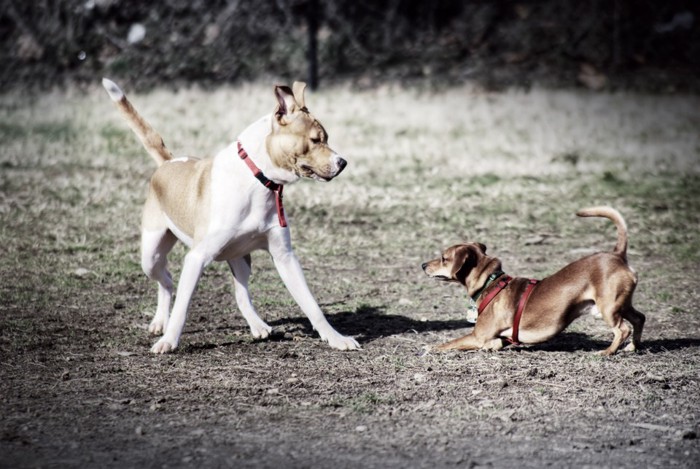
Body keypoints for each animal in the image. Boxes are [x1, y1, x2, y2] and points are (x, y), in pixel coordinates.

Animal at [104, 78, 360, 352]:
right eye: (314, 140)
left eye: (326, 138)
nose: (343, 163)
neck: (257, 179)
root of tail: (168, 163)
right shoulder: (196, 258)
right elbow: (182, 308)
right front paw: (169, 341)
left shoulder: (285, 257)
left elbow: (311, 304)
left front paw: (336, 339)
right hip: (150, 255)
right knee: (167, 281)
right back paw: (161, 322)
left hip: (239, 258)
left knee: (239, 293)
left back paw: (258, 326)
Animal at [422, 206, 644, 354]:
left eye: (443, 258)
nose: (423, 265)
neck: (490, 282)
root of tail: (617, 255)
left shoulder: (477, 336)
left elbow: (450, 343)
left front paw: (431, 346)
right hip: (622, 304)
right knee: (639, 318)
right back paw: (632, 347)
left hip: (609, 308)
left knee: (622, 329)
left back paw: (608, 351)